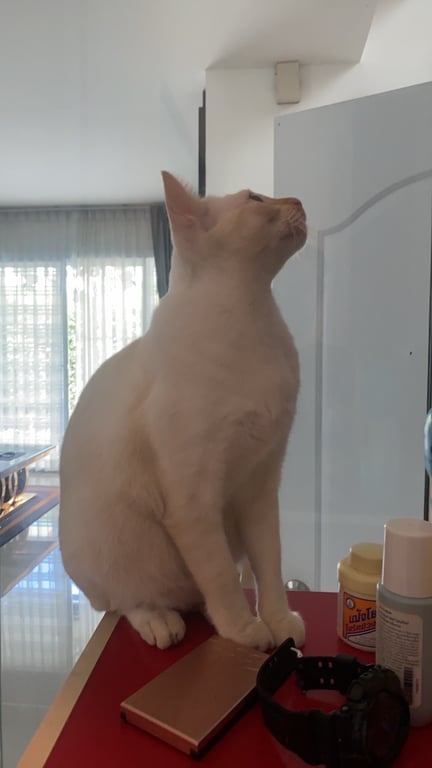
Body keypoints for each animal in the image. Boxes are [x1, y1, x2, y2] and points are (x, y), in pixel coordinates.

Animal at [59, 172, 307, 651]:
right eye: (256, 199)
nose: (300, 201)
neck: (253, 319)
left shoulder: (261, 482)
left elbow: (269, 566)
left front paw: (278, 621)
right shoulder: (194, 496)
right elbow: (222, 577)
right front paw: (244, 630)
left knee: (196, 589)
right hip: (109, 548)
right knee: (126, 600)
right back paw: (162, 621)